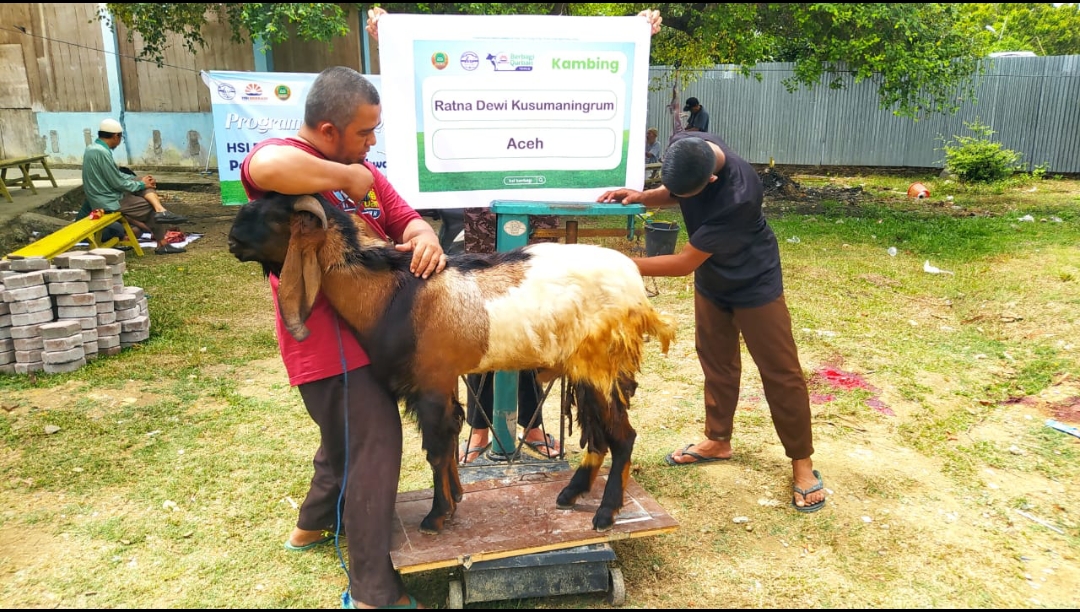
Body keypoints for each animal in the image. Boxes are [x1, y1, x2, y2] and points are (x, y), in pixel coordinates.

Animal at [227, 194, 673, 533]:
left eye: (273, 216)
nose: (232, 241)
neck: (389, 294)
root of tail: (635, 284)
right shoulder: (440, 383)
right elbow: (448, 439)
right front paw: (455, 498)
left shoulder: (431, 381)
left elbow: (437, 448)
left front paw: (437, 516)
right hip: (588, 368)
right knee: (598, 434)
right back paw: (570, 494)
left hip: (601, 366)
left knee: (623, 436)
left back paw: (605, 513)